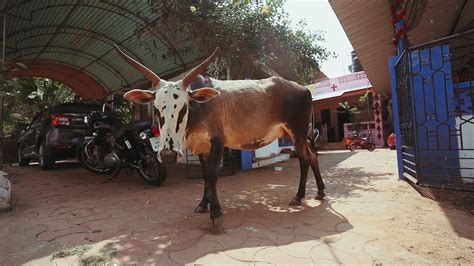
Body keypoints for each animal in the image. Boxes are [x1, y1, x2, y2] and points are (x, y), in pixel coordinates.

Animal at [116, 45, 328, 227]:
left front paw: (216, 212)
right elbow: (204, 175)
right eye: (157, 108)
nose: (168, 155)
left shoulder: (218, 142)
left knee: (304, 159)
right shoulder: (201, 147)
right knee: (312, 156)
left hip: (298, 132)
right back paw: (319, 192)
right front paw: (203, 204)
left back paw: (299, 196)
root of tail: (304, 88)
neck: (200, 107)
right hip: (299, 135)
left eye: (184, 107)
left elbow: (212, 174)